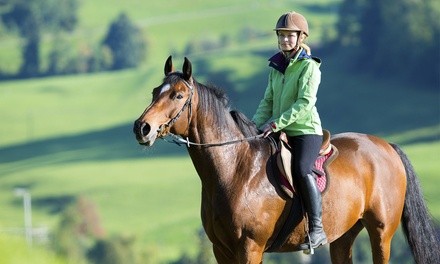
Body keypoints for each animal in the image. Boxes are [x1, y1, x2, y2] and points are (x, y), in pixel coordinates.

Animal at [132, 56, 438, 262]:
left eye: (178, 95)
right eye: (154, 92)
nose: (142, 128)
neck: (236, 169)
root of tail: (387, 146)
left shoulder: (250, 247)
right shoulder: (222, 250)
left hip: (381, 232)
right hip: (343, 236)